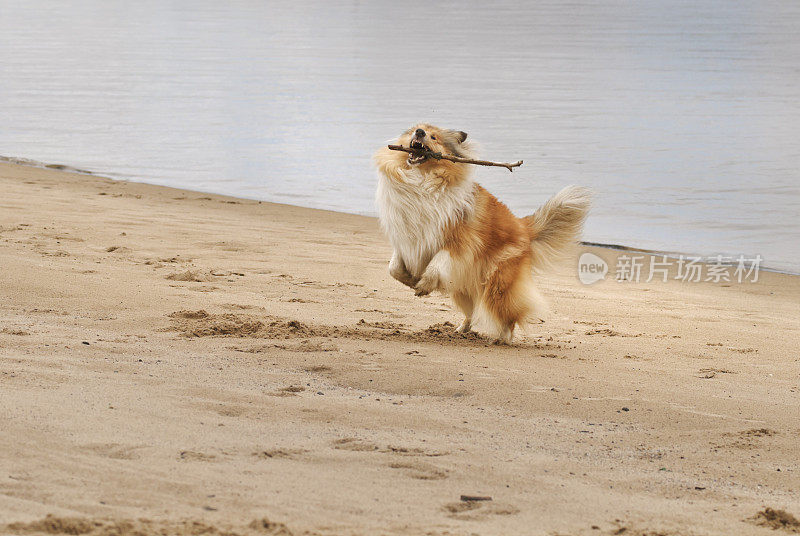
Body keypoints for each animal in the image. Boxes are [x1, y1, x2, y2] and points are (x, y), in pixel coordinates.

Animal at [374, 124, 588, 344]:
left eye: (433, 137)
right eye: (416, 129)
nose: (419, 133)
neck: (421, 180)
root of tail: (524, 226)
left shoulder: (457, 244)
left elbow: (436, 264)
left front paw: (424, 284)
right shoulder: (406, 238)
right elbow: (393, 268)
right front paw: (410, 280)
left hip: (497, 284)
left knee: (508, 315)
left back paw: (502, 339)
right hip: (462, 287)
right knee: (473, 312)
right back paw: (461, 329)